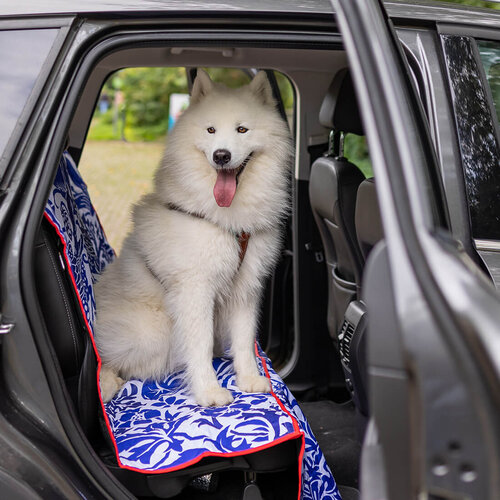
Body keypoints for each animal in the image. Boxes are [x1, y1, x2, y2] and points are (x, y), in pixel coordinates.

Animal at [94, 70, 292, 406]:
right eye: (210, 130)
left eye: (242, 129)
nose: (221, 155)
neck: (227, 220)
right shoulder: (194, 289)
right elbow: (199, 344)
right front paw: (209, 391)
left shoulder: (246, 287)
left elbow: (244, 339)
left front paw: (249, 378)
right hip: (153, 332)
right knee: (109, 357)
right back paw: (107, 382)